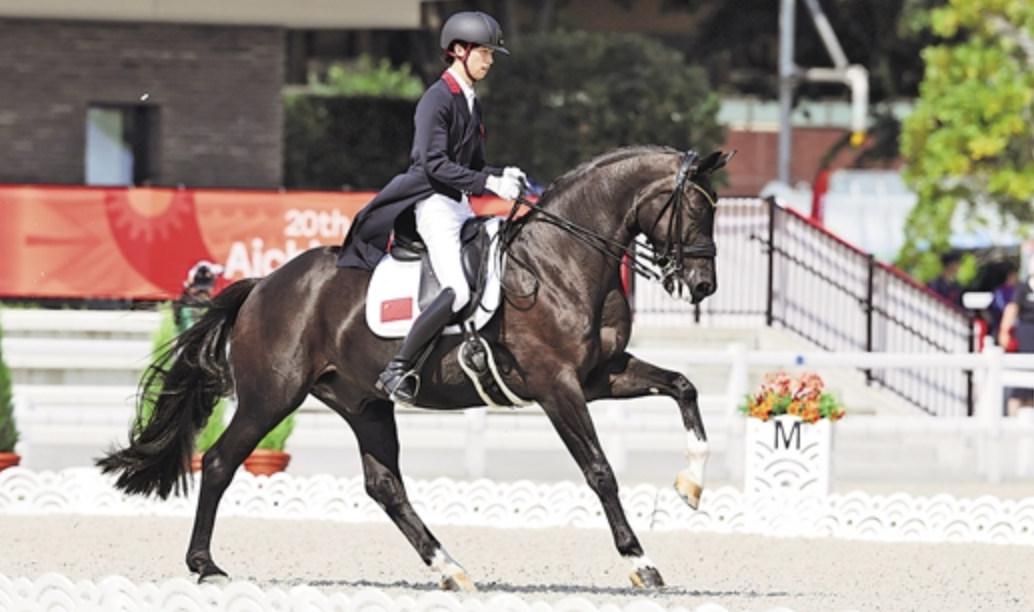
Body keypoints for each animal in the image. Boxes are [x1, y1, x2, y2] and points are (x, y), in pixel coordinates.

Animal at [98, 145, 735, 591]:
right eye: (696, 207)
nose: (704, 285)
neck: (561, 262)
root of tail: (263, 285)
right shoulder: (558, 386)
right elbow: (600, 470)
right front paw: (641, 561)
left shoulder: (602, 376)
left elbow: (684, 387)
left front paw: (692, 486)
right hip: (271, 396)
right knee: (221, 462)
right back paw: (205, 565)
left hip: (364, 404)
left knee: (385, 487)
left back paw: (450, 568)